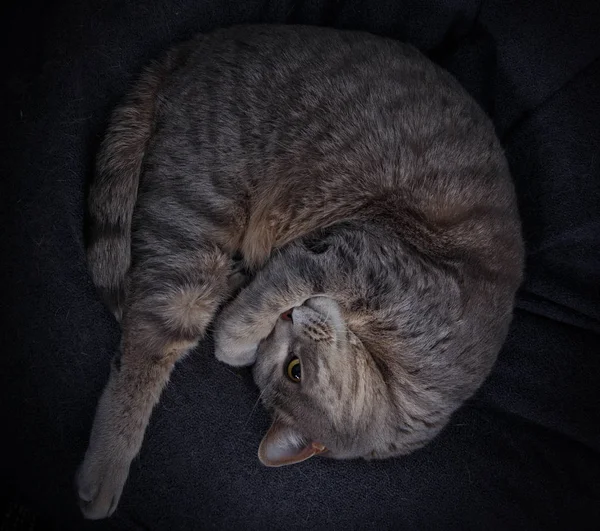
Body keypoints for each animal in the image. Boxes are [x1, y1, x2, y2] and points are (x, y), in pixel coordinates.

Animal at [76, 25, 524, 520]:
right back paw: (106, 465)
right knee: (147, 342)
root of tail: (195, 47)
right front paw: (237, 338)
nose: (289, 318)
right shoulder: (351, 255)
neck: (395, 378)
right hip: (197, 218)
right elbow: (269, 296)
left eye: (294, 370)